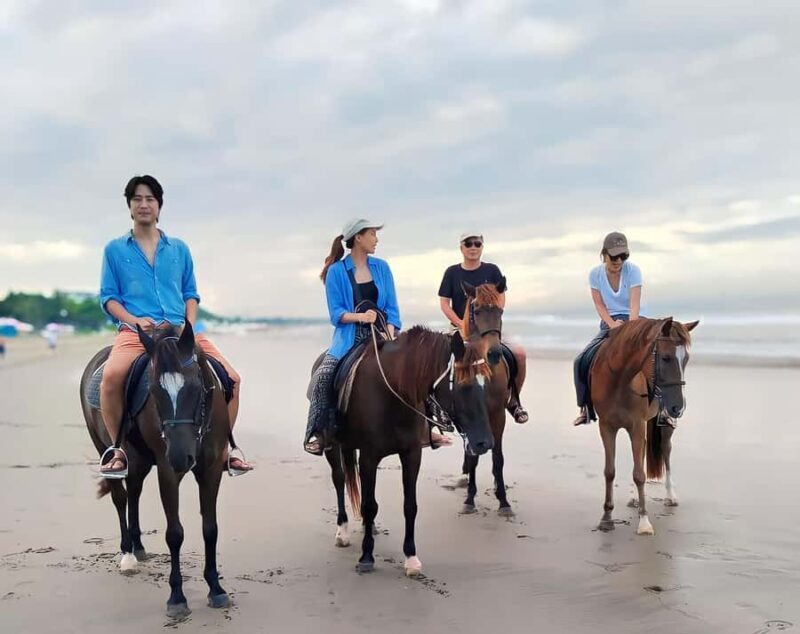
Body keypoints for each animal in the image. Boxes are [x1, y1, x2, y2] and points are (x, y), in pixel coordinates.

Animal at [80, 323, 232, 618]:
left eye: (196, 387)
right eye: (153, 390)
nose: (180, 457)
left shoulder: (211, 469)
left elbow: (210, 528)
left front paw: (216, 589)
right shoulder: (167, 471)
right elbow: (174, 533)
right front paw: (177, 597)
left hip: (138, 460)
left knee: (134, 492)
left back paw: (138, 547)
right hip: (106, 449)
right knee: (121, 498)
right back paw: (128, 555)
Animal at [321, 326, 494, 577]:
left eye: (486, 385)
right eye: (463, 386)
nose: (485, 443)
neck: (392, 392)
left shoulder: (412, 455)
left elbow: (409, 506)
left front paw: (411, 558)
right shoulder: (369, 456)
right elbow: (369, 505)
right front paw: (366, 556)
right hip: (333, 447)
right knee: (339, 479)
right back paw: (342, 531)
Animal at [456, 281, 519, 516]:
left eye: (500, 310)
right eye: (477, 310)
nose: (494, 354)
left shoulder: (497, 415)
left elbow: (498, 458)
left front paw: (503, 501)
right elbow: (474, 456)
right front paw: (469, 499)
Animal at [590, 317, 699, 535]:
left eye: (686, 359)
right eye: (665, 358)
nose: (679, 407)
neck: (619, 380)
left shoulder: (637, 426)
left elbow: (639, 474)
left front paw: (644, 522)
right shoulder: (607, 427)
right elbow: (610, 471)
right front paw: (606, 518)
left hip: (661, 426)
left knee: (665, 450)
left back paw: (670, 495)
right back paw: (634, 499)